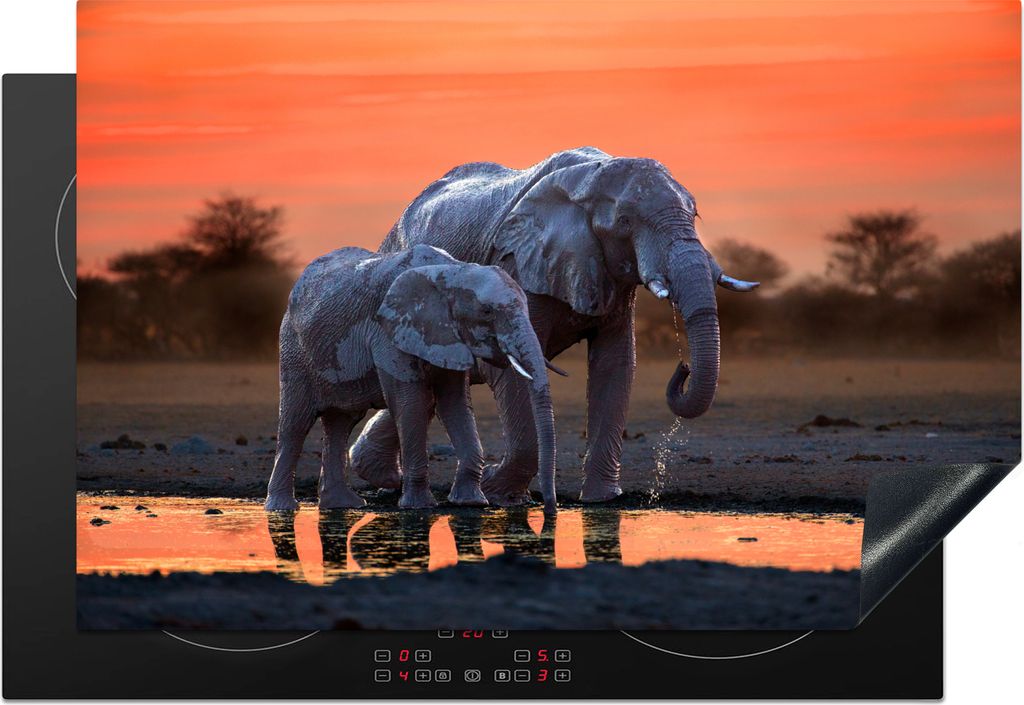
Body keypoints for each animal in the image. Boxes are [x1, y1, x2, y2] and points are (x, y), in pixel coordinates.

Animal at [263, 244, 560, 514]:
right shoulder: (389, 330)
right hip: (293, 350)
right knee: (296, 423)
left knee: (341, 421)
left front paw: (472, 502)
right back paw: (282, 509)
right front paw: (419, 506)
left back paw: (343, 506)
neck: (453, 271)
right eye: (487, 312)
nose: (549, 509)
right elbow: (412, 403)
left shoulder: (448, 336)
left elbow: (455, 403)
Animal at [350, 147, 758, 505]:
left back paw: (378, 475)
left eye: (695, 215)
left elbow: (615, 365)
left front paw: (602, 500)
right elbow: (515, 371)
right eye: (625, 222)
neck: (593, 177)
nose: (683, 367)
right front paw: (500, 493)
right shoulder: (517, 264)